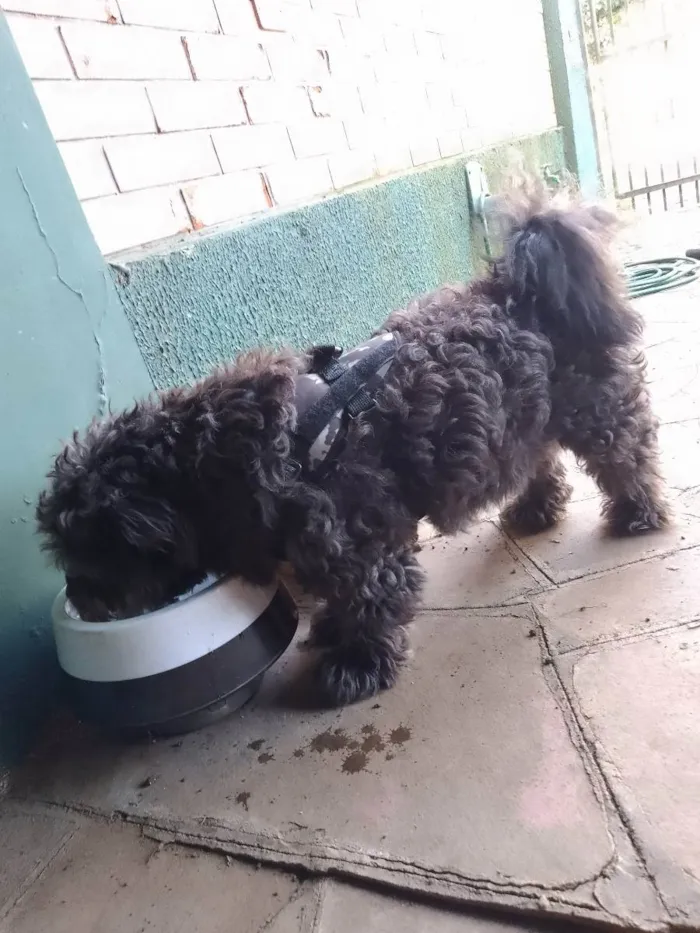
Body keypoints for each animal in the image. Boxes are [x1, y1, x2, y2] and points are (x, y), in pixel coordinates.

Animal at [37, 180, 668, 708]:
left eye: (93, 552)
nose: (82, 597)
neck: (226, 459)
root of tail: (516, 288)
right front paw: (333, 639)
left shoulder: (358, 546)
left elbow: (366, 604)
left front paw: (356, 667)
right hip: (517, 422)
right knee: (537, 459)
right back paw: (536, 510)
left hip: (595, 412)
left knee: (628, 454)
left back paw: (638, 514)